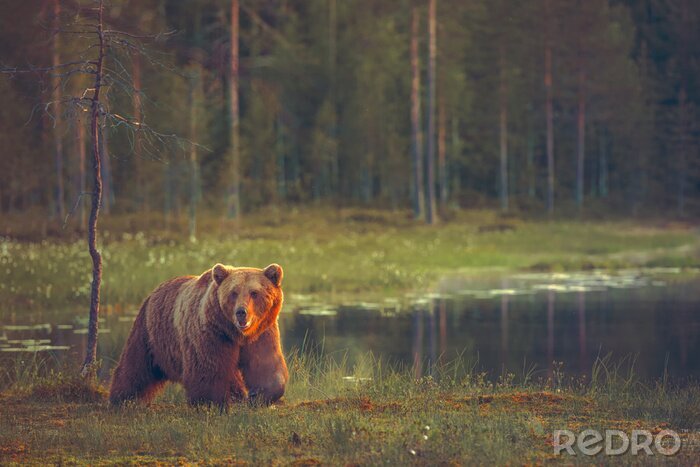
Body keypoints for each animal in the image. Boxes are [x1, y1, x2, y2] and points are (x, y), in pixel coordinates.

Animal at [109, 263, 288, 407]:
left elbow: (265, 366)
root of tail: (153, 292)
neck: (236, 333)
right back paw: (122, 399)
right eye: (234, 292)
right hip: (150, 333)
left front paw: (257, 395)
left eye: (254, 293)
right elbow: (207, 370)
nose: (241, 312)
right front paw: (211, 403)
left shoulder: (262, 333)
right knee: (135, 366)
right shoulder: (212, 334)